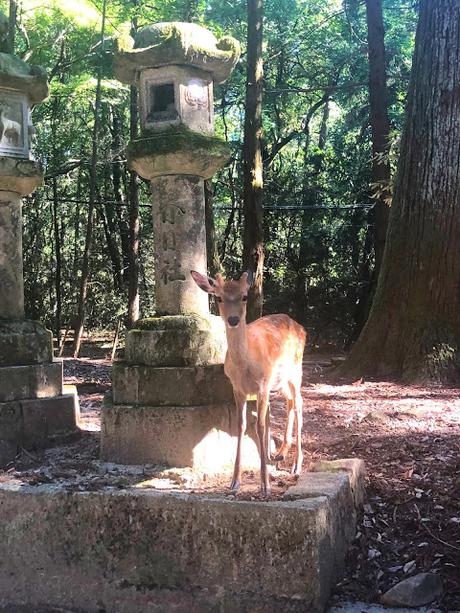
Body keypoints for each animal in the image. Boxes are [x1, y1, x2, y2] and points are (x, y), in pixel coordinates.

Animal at [190, 270, 306, 494]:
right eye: (219, 297)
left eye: (244, 296)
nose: (234, 319)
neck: (246, 365)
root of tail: (301, 326)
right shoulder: (237, 388)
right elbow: (241, 426)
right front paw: (234, 482)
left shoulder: (263, 385)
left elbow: (260, 425)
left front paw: (265, 484)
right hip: (280, 381)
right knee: (289, 402)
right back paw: (280, 453)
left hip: (296, 369)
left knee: (299, 403)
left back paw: (296, 465)